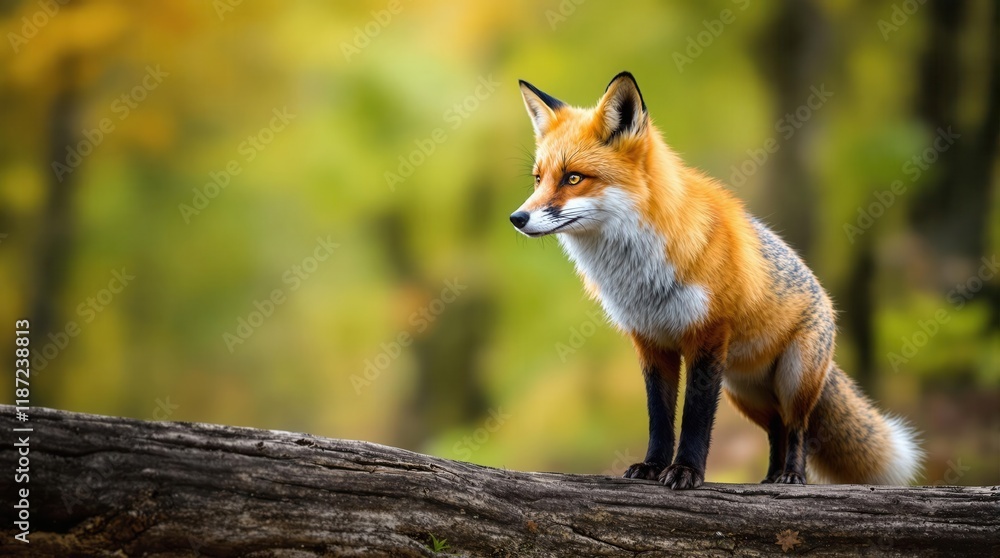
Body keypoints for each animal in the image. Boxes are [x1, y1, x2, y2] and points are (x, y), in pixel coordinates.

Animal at [510, 72, 923, 489]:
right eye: (538, 179)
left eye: (573, 178)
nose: (517, 218)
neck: (638, 274)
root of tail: (827, 303)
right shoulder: (650, 342)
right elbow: (659, 417)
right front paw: (653, 466)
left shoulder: (708, 336)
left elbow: (695, 417)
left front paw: (686, 471)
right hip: (747, 394)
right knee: (776, 429)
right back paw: (768, 478)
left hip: (792, 380)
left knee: (798, 428)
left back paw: (791, 476)